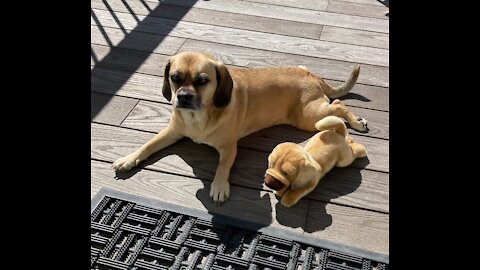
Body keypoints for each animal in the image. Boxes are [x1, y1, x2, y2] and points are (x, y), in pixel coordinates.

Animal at [112, 51, 368, 204]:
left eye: (202, 81)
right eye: (175, 78)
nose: (182, 97)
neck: (197, 117)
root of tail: (311, 75)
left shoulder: (229, 148)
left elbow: (222, 167)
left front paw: (218, 186)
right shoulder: (172, 132)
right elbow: (147, 145)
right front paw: (129, 158)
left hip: (308, 116)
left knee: (338, 104)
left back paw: (357, 122)